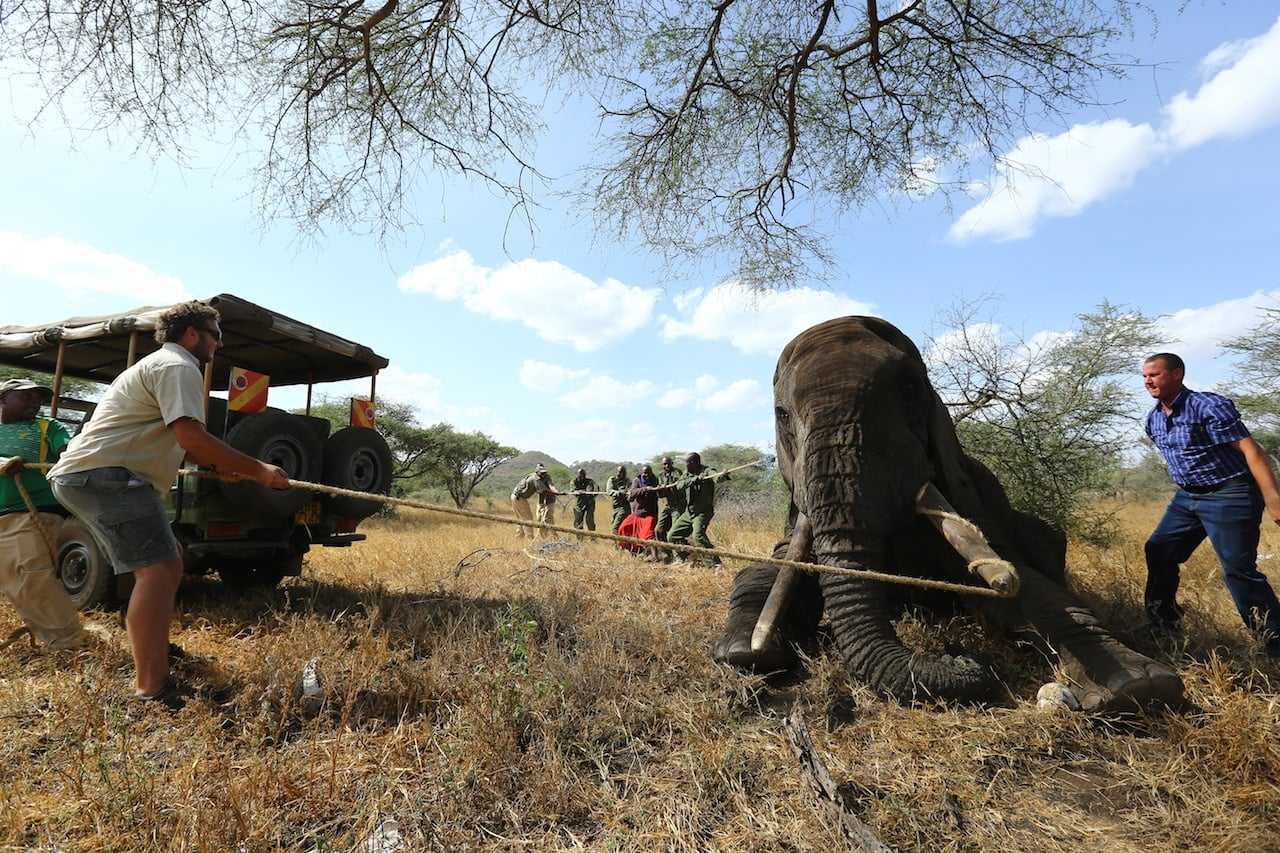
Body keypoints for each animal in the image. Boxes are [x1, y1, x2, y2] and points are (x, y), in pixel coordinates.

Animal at [713, 316, 1184, 711]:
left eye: (909, 393)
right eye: (782, 415)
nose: (960, 657)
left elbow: (1028, 586)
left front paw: (1140, 685)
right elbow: (770, 572)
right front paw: (744, 649)